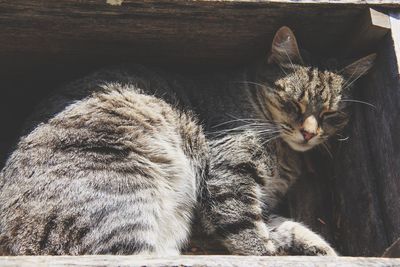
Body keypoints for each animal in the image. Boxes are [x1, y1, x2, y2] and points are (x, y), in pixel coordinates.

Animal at [0, 26, 376, 256]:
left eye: (331, 114)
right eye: (293, 103)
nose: (309, 132)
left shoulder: (258, 200)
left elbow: (284, 226)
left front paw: (322, 249)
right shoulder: (228, 178)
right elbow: (248, 232)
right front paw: (268, 252)